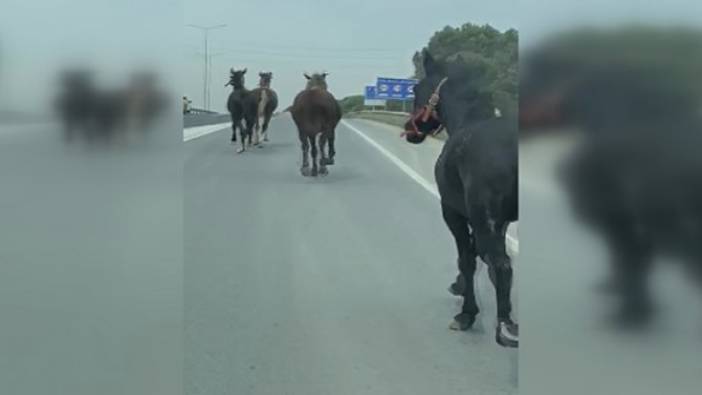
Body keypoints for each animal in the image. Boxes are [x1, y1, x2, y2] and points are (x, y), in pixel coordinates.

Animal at [404, 51, 520, 348]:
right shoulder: (497, 222)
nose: (409, 130)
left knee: (504, 266)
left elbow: (467, 258)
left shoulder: (454, 213)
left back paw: (505, 327)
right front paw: (458, 286)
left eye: (415, 89)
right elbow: (477, 253)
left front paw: (466, 314)